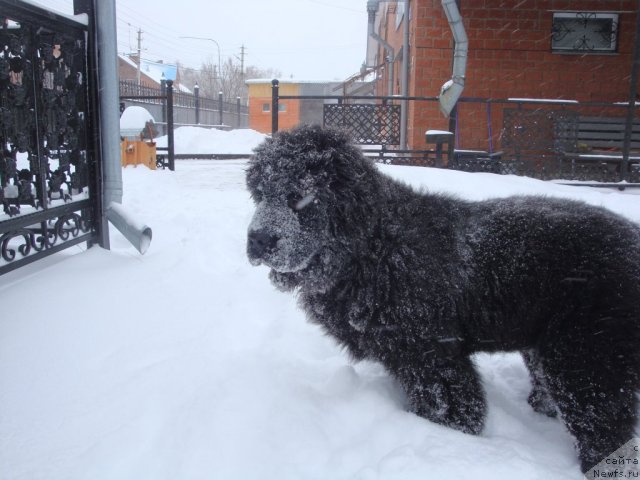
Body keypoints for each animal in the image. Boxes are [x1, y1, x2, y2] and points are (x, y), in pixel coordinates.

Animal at [246, 124, 640, 472]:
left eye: (300, 196)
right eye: (260, 194)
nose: (258, 239)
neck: (373, 248)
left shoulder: (432, 355)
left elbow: (449, 406)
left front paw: (449, 436)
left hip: (587, 360)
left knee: (604, 430)